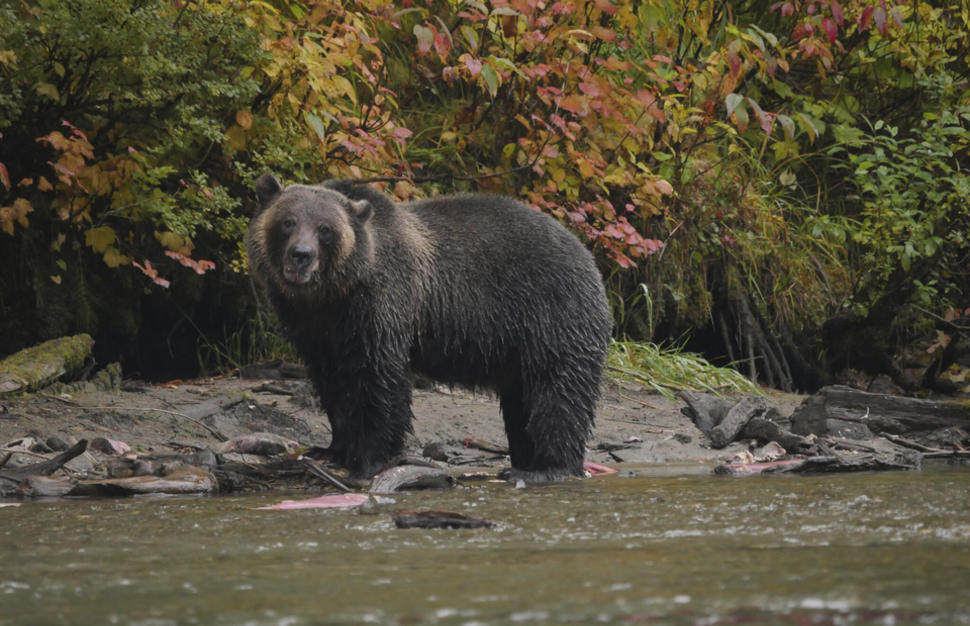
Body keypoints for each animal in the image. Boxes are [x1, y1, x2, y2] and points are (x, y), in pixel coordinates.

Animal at [247, 174, 612, 482]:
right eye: (287, 222)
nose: (301, 256)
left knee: (557, 393)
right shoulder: (314, 329)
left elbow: (377, 380)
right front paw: (331, 449)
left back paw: (547, 468)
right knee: (521, 401)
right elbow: (332, 384)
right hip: (520, 347)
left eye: (325, 229)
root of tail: (586, 254)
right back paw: (526, 460)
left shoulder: (382, 304)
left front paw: (368, 458)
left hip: (552, 315)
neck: (333, 294)